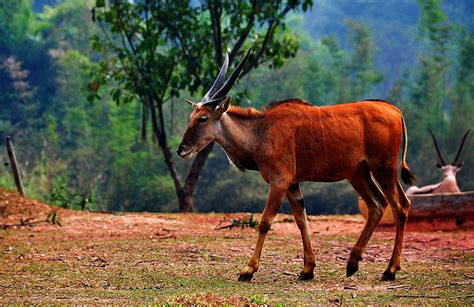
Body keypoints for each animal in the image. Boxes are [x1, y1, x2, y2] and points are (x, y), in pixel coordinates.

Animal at [177, 49, 414, 282]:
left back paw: (390, 270)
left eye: (202, 119)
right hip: (360, 173)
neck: (260, 132)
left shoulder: (279, 182)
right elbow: (302, 221)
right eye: (190, 117)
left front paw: (248, 270)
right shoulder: (293, 185)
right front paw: (307, 269)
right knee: (378, 205)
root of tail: (395, 110)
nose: (181, 150)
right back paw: (353, 263)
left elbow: (265, 222)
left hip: (383, 169)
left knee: (399, 206)